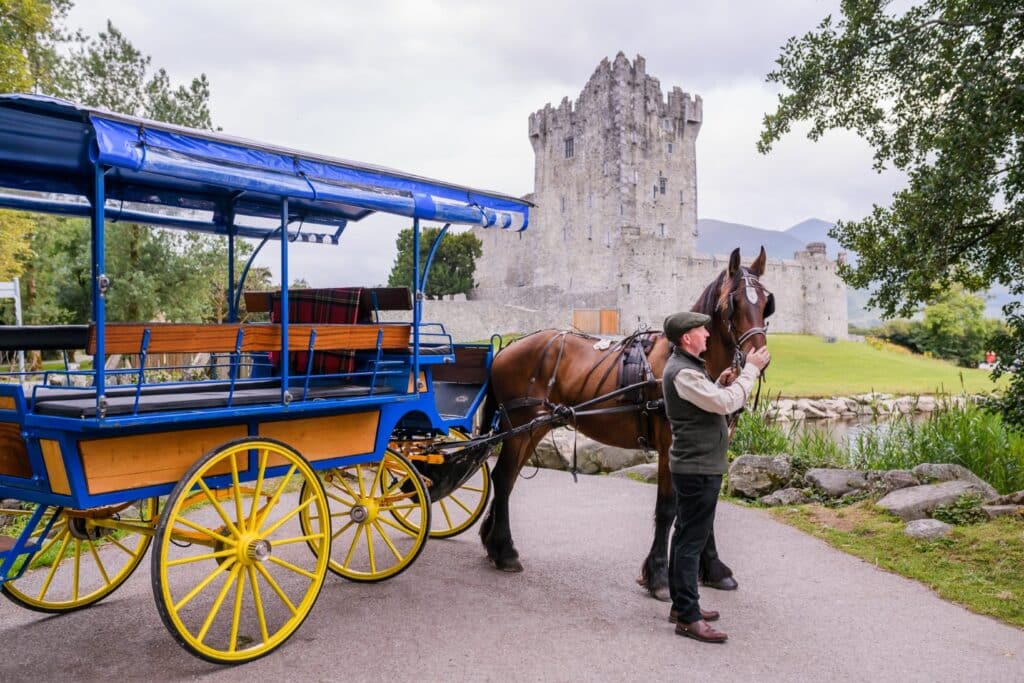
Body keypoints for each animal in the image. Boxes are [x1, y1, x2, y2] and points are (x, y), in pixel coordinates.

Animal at [479, 245, 774, 598]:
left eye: (766, 302)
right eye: (735, 302)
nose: (760, 356)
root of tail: (507, 348)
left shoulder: (713, 446)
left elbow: (708, 508)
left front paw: (714, 570)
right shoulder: (670, 447)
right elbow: (668, 508)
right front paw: (659, 576)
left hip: (534, 428)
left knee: (506, 478)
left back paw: (494, 544)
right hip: (520, 428)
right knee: (503, 478)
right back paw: (505, 551)